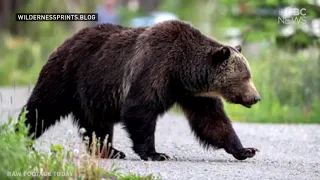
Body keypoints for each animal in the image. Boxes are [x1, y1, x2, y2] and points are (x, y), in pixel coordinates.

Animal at [20, 20, 262, 161]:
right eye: (245, 77)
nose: (256, 97)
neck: (182, 71)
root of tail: (65, 41)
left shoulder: (194, 94)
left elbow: (213, 122)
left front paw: (246, 150)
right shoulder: (154, 67)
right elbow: (140, 109)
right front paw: (157, 154)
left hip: (94, 92)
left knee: (97, 124)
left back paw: (111, 151)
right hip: (67, 75)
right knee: (41, 108)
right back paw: (21, 136)